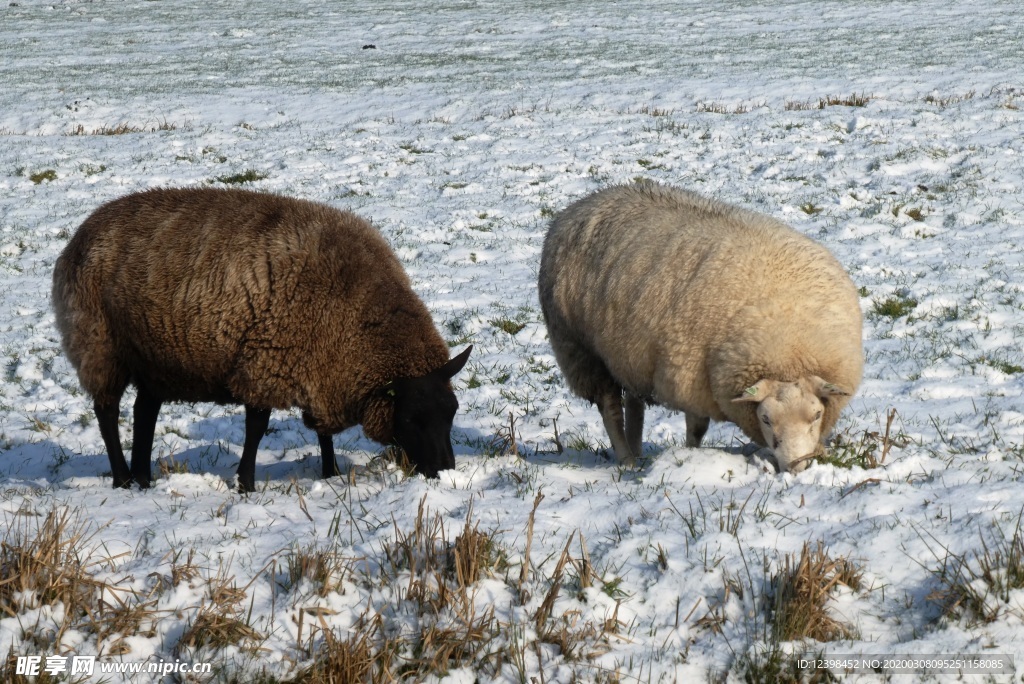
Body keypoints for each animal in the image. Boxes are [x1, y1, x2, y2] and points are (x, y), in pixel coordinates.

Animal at [51, 187, 471, 491]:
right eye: (412, 418)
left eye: (452, 412)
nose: (446, 472)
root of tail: (78, 236)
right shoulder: (264, 360)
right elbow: (256, 428)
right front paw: (246, 484)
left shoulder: (320, 366)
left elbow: (321, 433)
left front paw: (330, 473)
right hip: (99, 345)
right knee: (106, 412)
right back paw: (123, 478)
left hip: (153, 355)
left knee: (144, 411)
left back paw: (143, 477)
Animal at [540, 179, 860, 473]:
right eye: (766, 419)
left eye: (816, 415)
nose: (796, 466)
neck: (786, 340)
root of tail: (583, 203)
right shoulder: (690, 379)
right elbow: (696, 428)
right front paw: (691, 457)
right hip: (581, 351)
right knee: (610, 410)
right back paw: (627, 461)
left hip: (629, 354)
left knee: (634, 402)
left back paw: (637, 451)